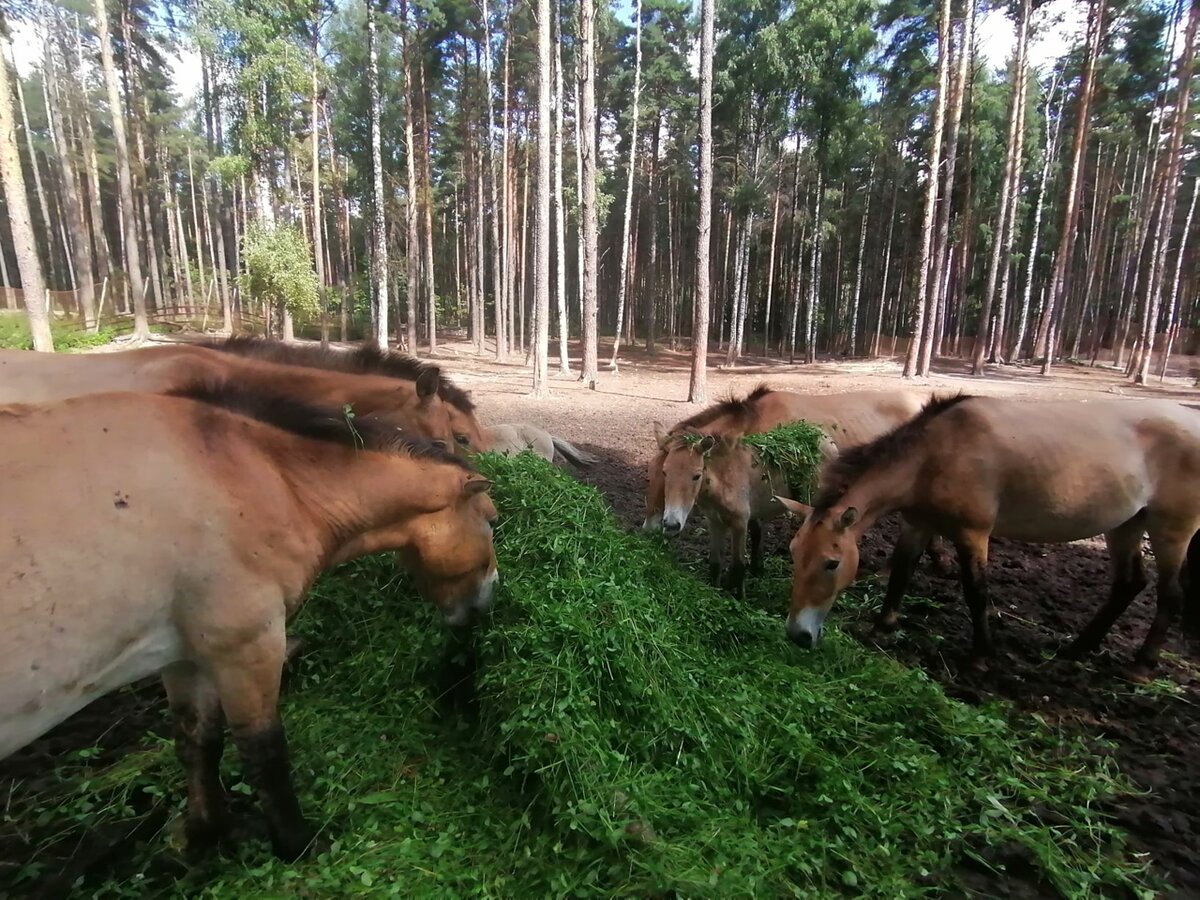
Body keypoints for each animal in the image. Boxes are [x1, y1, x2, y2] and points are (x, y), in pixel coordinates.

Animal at [0, 381, 496, 859]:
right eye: (490, 520)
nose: (488, 598)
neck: (262, 479)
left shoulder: (184, 656)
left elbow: (198, 740)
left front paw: (207, 832)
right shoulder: (248, 646)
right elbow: (264, 751)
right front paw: (298, 845)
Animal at [648, 384, 936, 595]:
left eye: (695, 476)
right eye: (662, 472)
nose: (654, 527)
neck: (760, 423)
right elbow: (756, 529)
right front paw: (758, 567)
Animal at [777, 393, 1200, 676]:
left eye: (831, 563)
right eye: (794, 554)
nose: (798, 635)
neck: (935, 454)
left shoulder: (972, 534)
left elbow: (975, 591)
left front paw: (982, 654)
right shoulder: (918, 524)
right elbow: (901, 572)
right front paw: (882, 627)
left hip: (1171, 529)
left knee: (1170, 593)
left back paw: (1143, 663)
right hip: (1125, 525)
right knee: (1129, 584)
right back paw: (1078, 649)